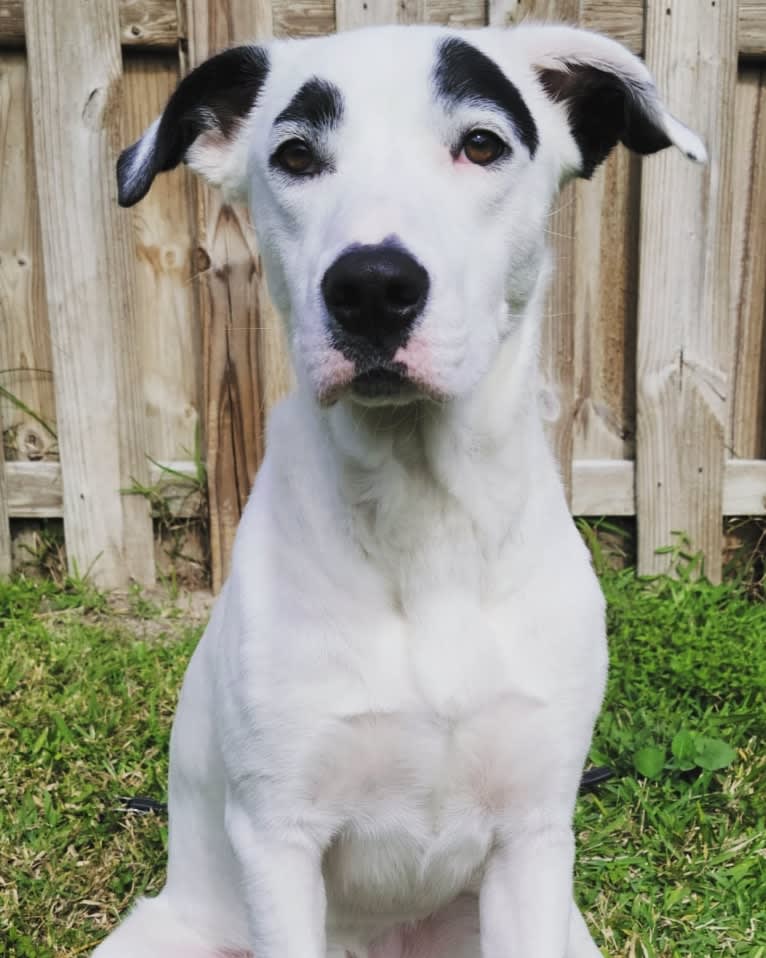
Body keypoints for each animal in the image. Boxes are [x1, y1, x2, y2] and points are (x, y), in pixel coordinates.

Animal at [97, 20, 708, 958]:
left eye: (482, 144)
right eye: (296, 154)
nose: (372, 287)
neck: (425, 520)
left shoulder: (533, 838)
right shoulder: (277, 839)